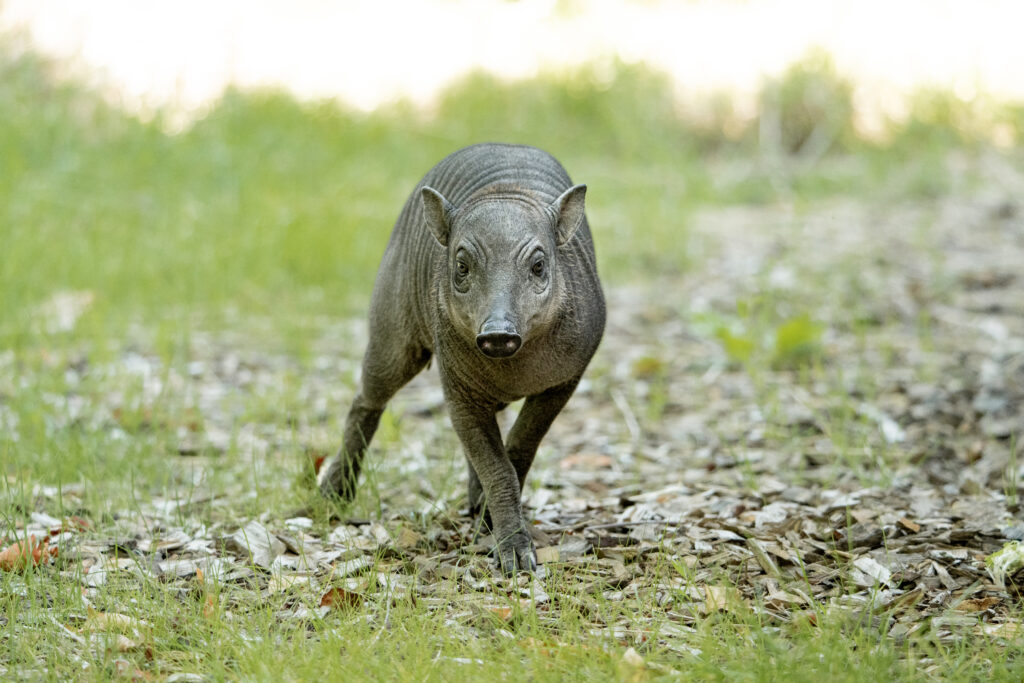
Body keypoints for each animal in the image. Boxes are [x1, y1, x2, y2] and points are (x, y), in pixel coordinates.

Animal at [317, 143, 605, 573]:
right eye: (461, 265)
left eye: (539, 265)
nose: (498, 333)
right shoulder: (458, 390)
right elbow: (496, 465)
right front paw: (512, 553)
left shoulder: (565, 379)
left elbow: (517, 448)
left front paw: (491, 521)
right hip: (392, 335)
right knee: (367, 400)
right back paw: (333, 495)